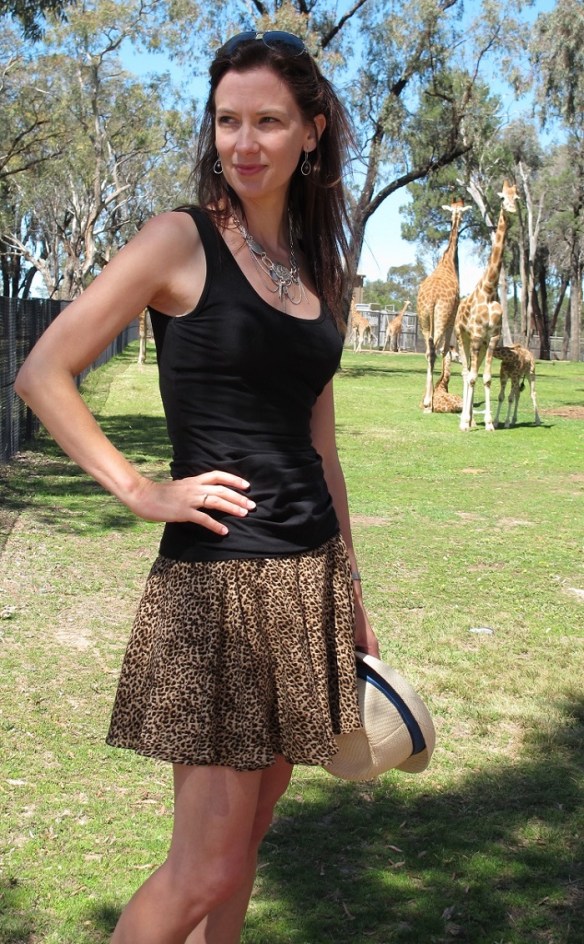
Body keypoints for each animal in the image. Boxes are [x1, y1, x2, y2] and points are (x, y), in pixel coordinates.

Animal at [417, 199, 471, 411]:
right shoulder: (453, 315)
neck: (447, 261)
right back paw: (427, 402)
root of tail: (432, 299)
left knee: (427, 351)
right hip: (441, 318)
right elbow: (446, 349)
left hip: (424, 319)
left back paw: (427, 400)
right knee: (434, 351)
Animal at [455, 180, 519, 432]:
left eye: (517, 197)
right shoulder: (474, 336)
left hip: (480, 346)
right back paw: (465, 420)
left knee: (473, 372)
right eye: (502, 197)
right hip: (461, 337)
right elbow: (471, 376)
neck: (490, 290)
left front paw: (490, 423)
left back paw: (472, 418)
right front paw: (464, 423)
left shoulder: (491, 338)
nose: (512, 210)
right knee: (465, 372)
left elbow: (487, 378)